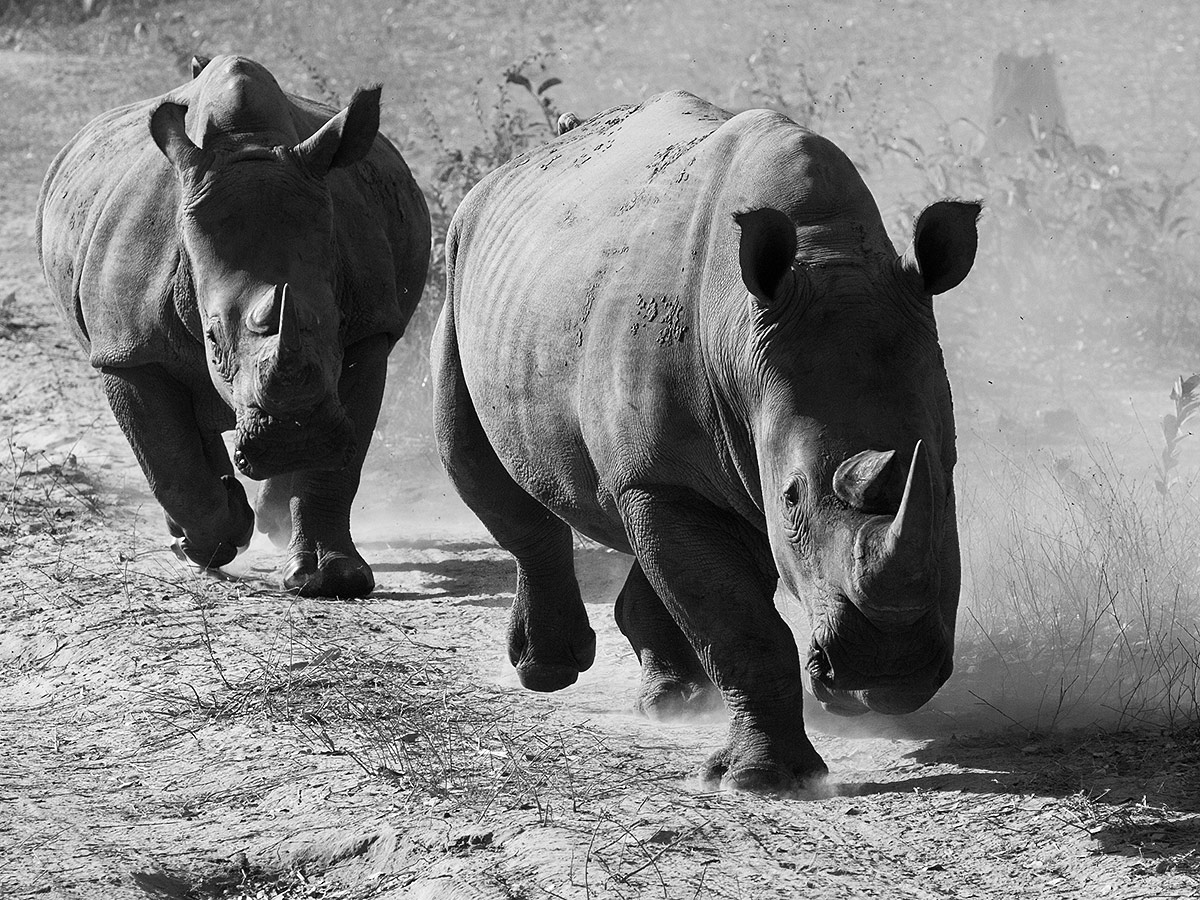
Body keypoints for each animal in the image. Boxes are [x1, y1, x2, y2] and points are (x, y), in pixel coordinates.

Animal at [37, 55, 430, 598]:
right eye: (211, 337)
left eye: (335, 324)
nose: (293, 438)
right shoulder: (128, 350)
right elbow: (168, 458)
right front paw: (215, 541)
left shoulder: (368, 330)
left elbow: (338, 467)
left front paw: (331, 580)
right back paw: (212, 528)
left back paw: (267, 517)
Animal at [433, 91, 979, 792]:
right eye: (793, 497)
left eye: (944, 482)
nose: (889, 672)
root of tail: (513, 169)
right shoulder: (666, 476)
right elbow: (741, 626)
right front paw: (762, 782)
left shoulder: (726, 454)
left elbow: (719, 598)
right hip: (457, 263)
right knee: (478, 462)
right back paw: (548, 673)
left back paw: (672, 702)